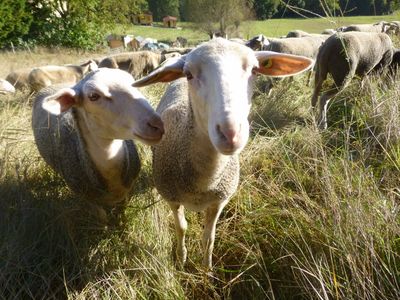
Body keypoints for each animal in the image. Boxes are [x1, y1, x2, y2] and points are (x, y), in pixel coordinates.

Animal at [131, 37, 312, 270]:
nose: (230, 133)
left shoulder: (220, 199)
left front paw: (206, 269)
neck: (204, 181)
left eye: (254, 70)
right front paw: (181, 259)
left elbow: (209, 237)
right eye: (189, 74)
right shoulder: (172, 197)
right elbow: (181, 228)